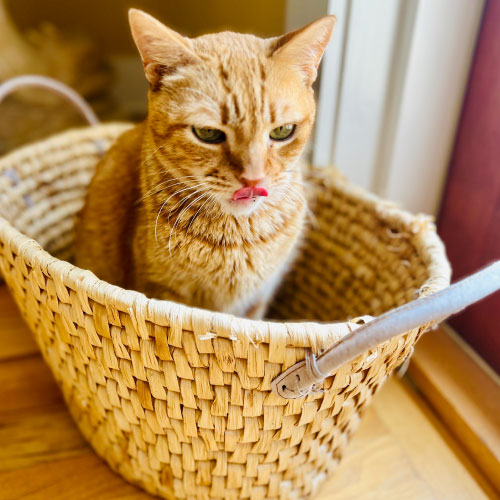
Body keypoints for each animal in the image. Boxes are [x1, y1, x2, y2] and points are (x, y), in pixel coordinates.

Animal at [74, 9, 334, 318]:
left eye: (282, 131)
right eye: (208, 133)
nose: (253, 179)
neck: (237, 238)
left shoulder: (257, 302)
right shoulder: (161, 293)